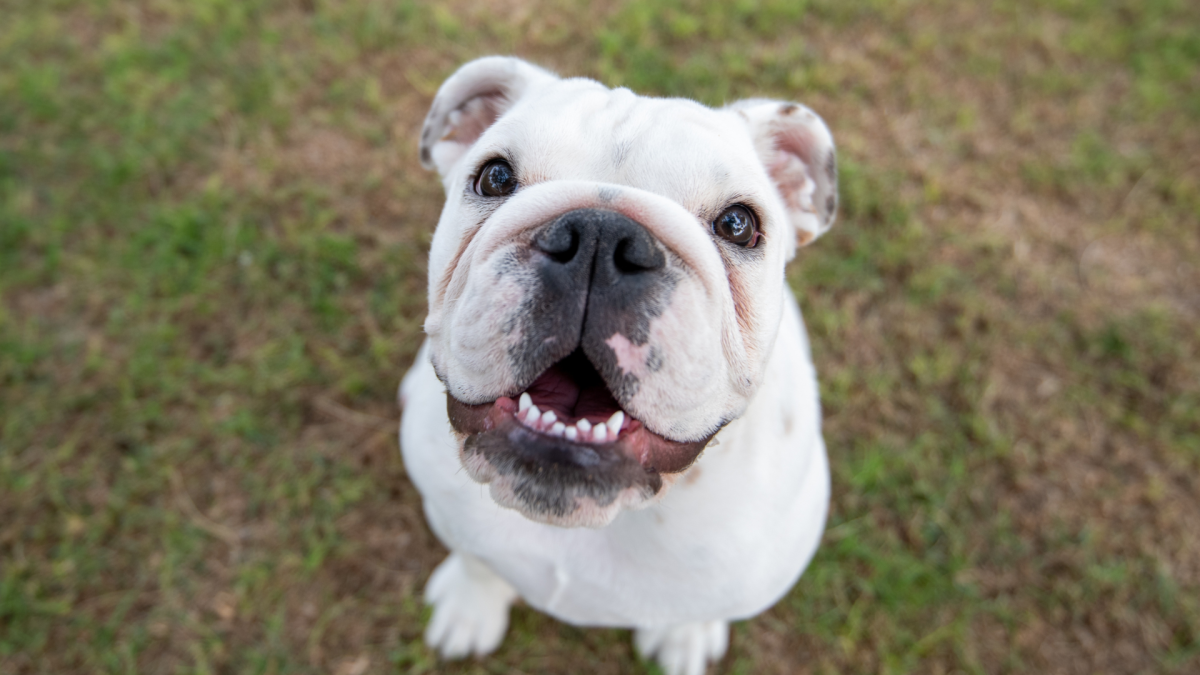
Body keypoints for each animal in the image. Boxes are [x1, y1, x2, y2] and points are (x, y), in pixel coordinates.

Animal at [398, 57, 840, 672]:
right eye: (495, 178)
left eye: (738, 225)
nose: (599, 237)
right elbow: (476, 560)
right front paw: (470, 606)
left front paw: (684, 636)